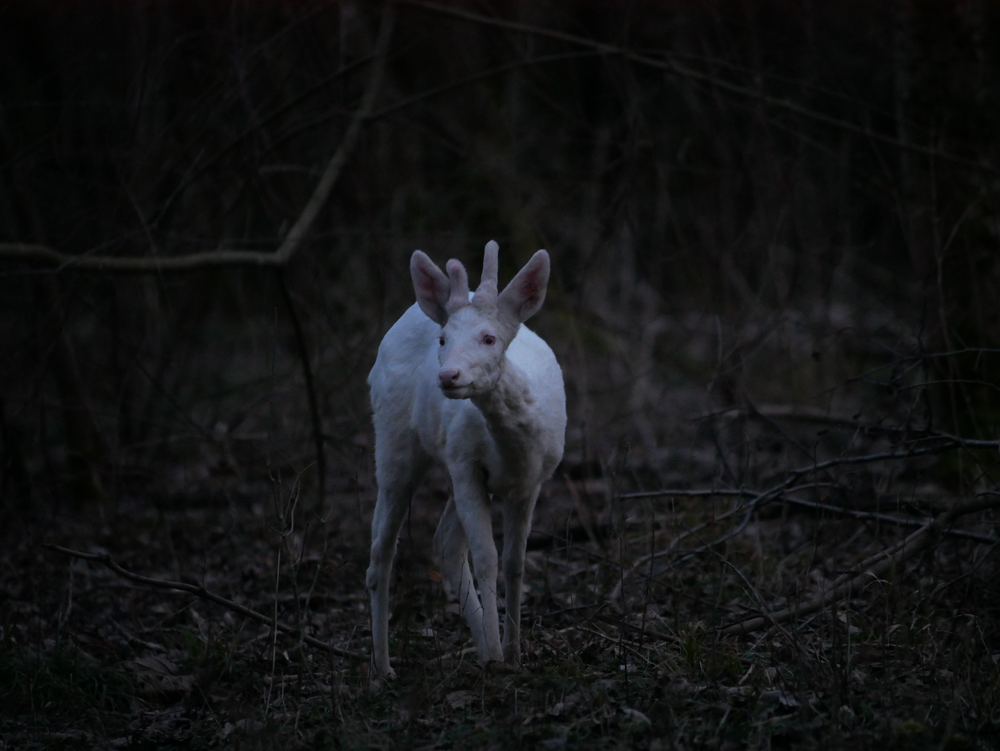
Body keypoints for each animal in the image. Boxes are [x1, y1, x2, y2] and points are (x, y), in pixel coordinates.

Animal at [366, 240, 566, 679]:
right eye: (443, 338)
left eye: (489, 337)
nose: (448, 376)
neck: (512, 449)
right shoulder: (465, 464)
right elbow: (487, 557)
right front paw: (499, 654)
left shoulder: (531, 481)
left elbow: (514, 561)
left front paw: (513, 652)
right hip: (394, 441)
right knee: (381, 549)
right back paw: (383, 668)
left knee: (444, 541)